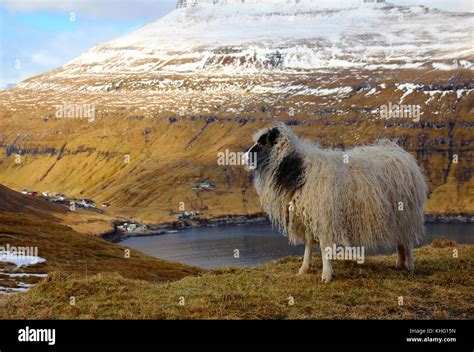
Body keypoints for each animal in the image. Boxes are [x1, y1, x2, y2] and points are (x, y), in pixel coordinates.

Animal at [246, 122, 428, 282]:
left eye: (262, 142)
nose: (245, 157)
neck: (299, 171)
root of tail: (400, 153)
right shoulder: (309, 213)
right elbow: (309, 243)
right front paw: (304, 268)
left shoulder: (324, 216)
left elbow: (324, 245)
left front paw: (326, 275)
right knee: (400, 239)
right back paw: (399, 263)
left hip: (407, 211)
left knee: (407, 240)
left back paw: (410, 265)